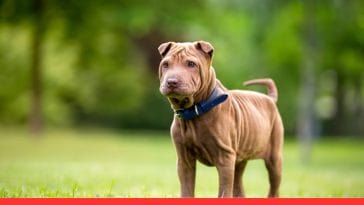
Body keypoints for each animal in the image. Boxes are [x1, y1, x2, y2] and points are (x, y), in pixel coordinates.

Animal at [158, 40, 282, 197]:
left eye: (191, 64)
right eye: (166, 64)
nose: (171, 81)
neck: (194, 111)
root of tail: (270, 99)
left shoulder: (225, 158)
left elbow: (224, 191)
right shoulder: (184, 160)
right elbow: (186, 190)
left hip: (274, 158)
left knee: (274, 187)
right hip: (239, 159)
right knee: (239, 186)